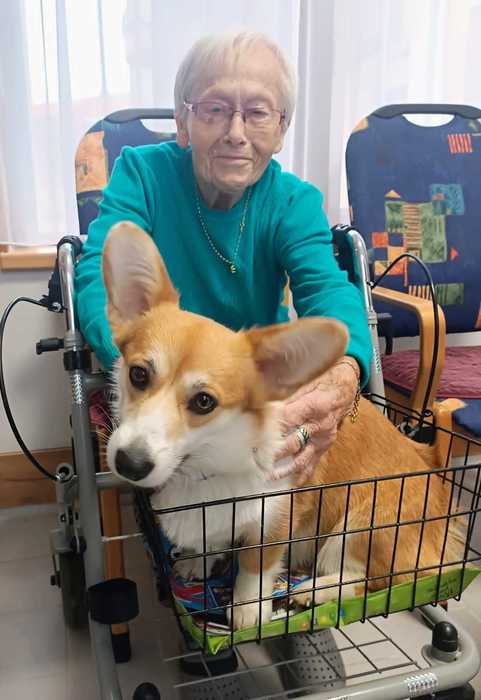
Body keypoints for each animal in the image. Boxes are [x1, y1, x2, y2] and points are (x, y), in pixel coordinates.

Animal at [103, 221, 464, 630]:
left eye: (204, 402)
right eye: (138, 374)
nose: (129, 463)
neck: (206, 462)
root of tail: (442, 533)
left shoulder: (276, 517)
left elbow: (255, 564)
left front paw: (248, 609)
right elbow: (209, 538)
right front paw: (198, 561)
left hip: (360, 523)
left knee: (374, 581)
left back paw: (313, 591)